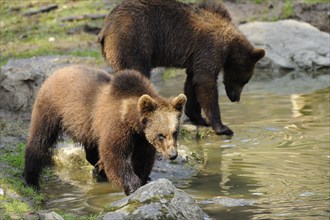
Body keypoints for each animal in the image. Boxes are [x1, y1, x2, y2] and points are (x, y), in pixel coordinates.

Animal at [23, 65, 187, 194]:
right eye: (161, 135)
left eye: (175, 132)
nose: (173, 155)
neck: (132, 120)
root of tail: (56, 72)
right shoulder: (117, 125)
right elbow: (114, 153)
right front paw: (133, 185)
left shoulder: (141, 137)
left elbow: (143, 158)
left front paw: (143, 179)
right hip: (51, 108)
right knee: (40, 140)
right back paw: (31, 180)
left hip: (88, 127)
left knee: (91, 150)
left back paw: (99, 169)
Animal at [98, 0, 266, 136]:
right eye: (243, 80)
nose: (235, 98)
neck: (230, 48)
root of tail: (105, 27)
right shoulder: (210, 48)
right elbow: (205, 81)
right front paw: (222, 127)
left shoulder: (196, 57)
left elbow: (192, 82)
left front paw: (199, 118)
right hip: (134, 40)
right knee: (136, 72)